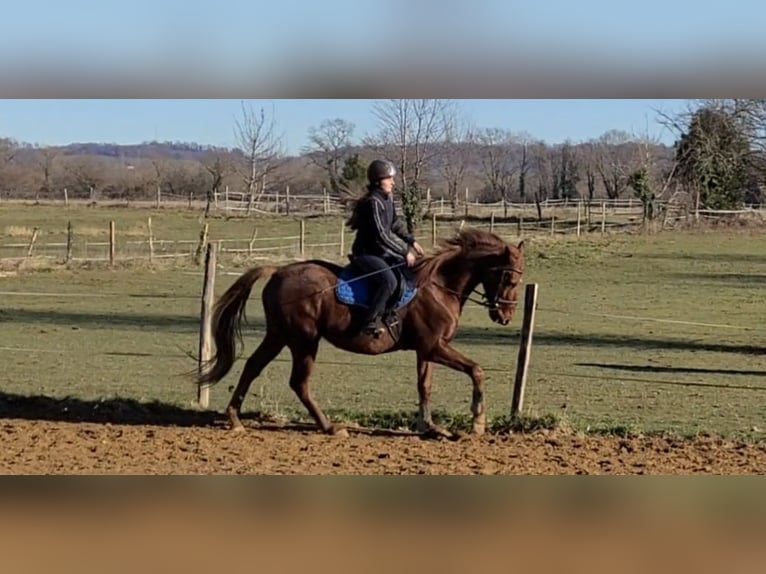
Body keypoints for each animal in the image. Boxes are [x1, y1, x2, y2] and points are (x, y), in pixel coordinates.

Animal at [195, 227, 524, 438]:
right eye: (510, 279)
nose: (505, 316)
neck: (439, 285)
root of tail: (277, 271)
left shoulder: (427, 349)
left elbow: (424, 386)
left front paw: (430, 427)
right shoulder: (434, 347)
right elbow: (476, 370)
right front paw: (478, 422)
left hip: (279, 335)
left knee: (253, 367)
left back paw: (235, 419)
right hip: (303, 339)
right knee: (298, 382)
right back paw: (329, 427)